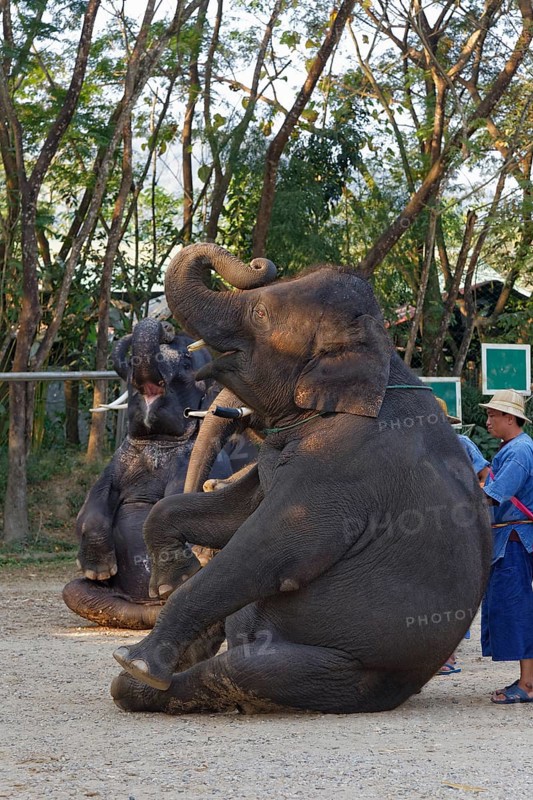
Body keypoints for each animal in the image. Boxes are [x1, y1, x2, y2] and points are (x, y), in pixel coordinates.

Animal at [62, 317, 236, 629]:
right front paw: (98, 571)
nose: (166, 327)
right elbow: (94, 500)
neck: (157, 440)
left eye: (188, 362)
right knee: (74, 591)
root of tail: (146, 607)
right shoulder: (117, 460)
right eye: (128, 367)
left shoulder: (200, 459)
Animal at [111, 243, 492, 713]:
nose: (258, 264)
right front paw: (172, 578)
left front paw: (132, 658)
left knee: (244, 670)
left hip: (347, 673)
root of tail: (404, 691)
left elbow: (266, 550)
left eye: (259, 313)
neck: (380, 356)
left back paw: (146, 678)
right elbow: (229, 515)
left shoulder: (342, 467)